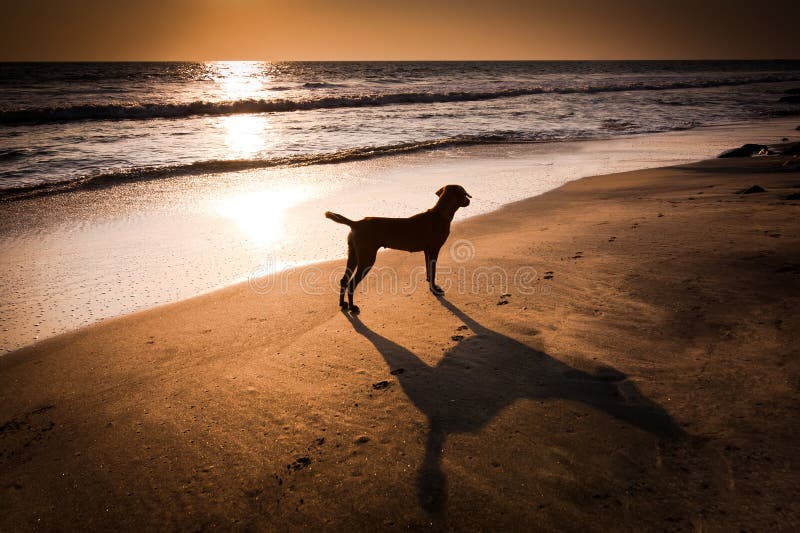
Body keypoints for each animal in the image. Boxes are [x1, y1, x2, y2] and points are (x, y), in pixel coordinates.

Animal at [324, 186, 472, 314]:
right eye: (464, 193)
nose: (470, 200)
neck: (440, 214)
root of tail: (355, 223)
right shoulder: (434, 249)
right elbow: (433, 271)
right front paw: (435, 289)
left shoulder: (427, 250)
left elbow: (429, 270)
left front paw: (430, 283)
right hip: (367, 257)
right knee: (351, 283)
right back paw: (352, 307)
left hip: (353, 254)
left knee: (344, 280)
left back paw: (343, 304)